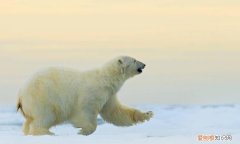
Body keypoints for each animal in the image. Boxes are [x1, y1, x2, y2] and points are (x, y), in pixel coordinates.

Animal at [16, 56, 154, 135]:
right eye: (134, 60)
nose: (144, 64)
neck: (105, 79)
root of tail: (20, 94)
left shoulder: (108, 95)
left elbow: (115, 112)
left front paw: (148, 114)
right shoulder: (92, 92)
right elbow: (85, 111)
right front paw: (83, 130)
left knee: (30, 120)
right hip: (42, 97)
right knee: (45, 116)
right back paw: (46, 132)